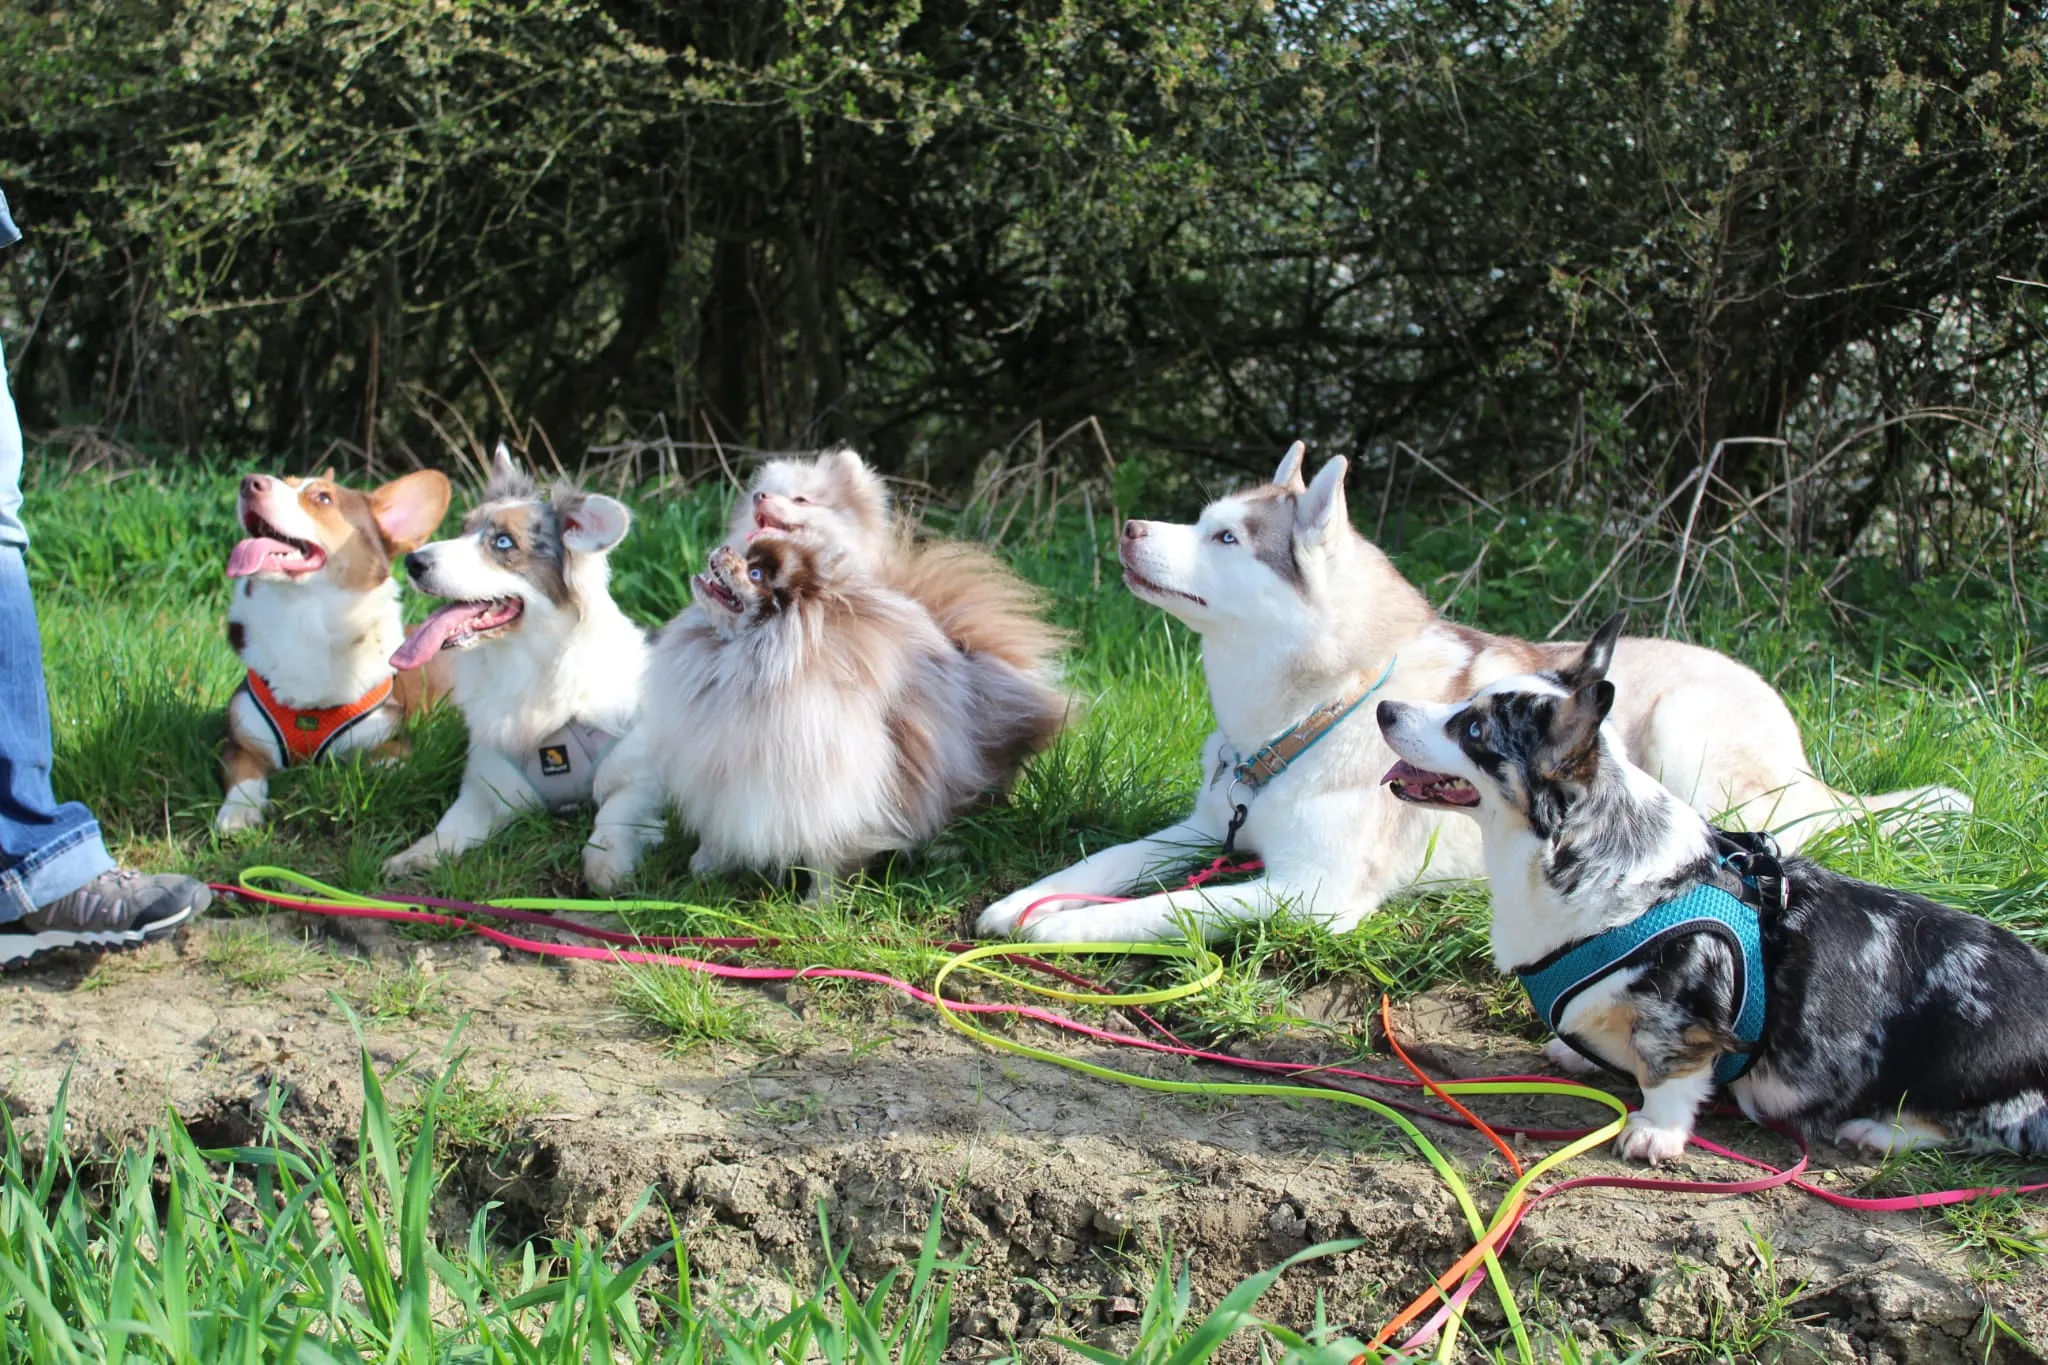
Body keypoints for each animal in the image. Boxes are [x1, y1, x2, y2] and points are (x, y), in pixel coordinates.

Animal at [585, 527, 1064, 896]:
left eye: (756, 573)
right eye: (746, 557)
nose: (723, 548)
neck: (744, 664)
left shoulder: (829, 790)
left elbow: (829, 856)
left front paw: (820, 905)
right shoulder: (722, 776)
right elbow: (719, 828)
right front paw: (707, 866)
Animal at [1376, 618, 2048, 1162]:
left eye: (1472, 729)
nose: (1384, 710)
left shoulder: (1679, 1015)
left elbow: (1669, 1075)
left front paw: (1654, 1132)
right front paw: (1583, 1053)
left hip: (1967, 1076)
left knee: (1971, 1129)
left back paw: (1878, 1132)